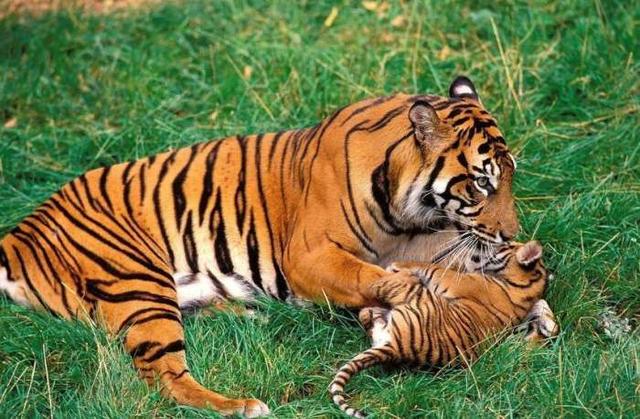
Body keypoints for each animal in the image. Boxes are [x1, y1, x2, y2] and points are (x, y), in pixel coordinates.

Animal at [329, 241, 559, 418]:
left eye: (503, 245)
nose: (478, 244)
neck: (527, 286)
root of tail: (396, 348)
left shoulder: (456, 280)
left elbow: (431, 267)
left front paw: (399, 264)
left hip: (418, 296)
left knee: (382, 285)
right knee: (368, 317)